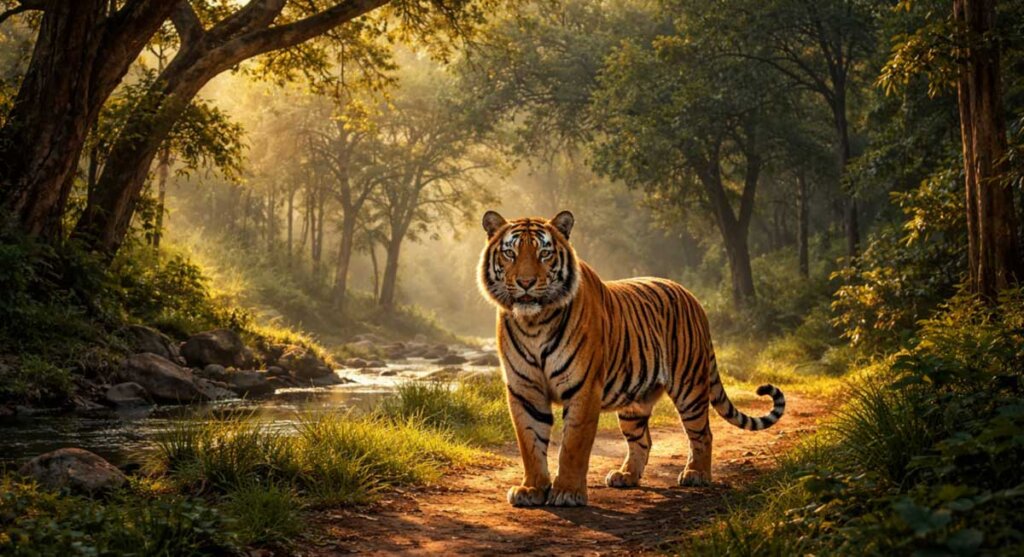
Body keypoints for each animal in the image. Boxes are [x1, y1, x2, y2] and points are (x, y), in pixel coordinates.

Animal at [477, 210, 786, 507]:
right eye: (510, 253)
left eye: (544, 253)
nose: (526, 283)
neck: (534, 324)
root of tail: (692, 297)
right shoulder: (525, 390)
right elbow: (530, 442)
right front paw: (531, 489)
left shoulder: (583, 389)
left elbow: (573, 445)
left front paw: (567, 492)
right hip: (634, 402)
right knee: (643, 440)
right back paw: (626, 476)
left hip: (689, 386)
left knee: (702, 433)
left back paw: (696, 474)